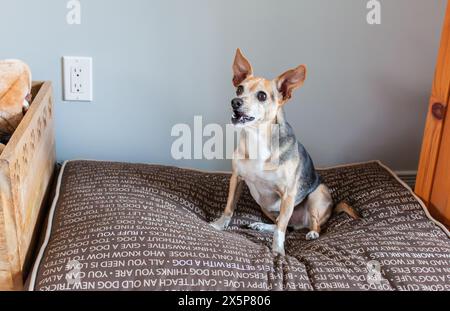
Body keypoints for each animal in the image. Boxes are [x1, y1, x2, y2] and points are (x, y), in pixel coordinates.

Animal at [211, 50, 358, 258]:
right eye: (239, 89)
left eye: (262, 96)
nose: (235, 102)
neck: (257, 138)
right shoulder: (236, 179)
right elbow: (229, 207)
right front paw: (218, 225)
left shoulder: (288, 194)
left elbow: (280, 229)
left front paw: (278, 250)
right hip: (264, 204)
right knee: (284, 224)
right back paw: (262, 226)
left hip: (316, 196)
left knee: (302, 225)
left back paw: (313, 232)